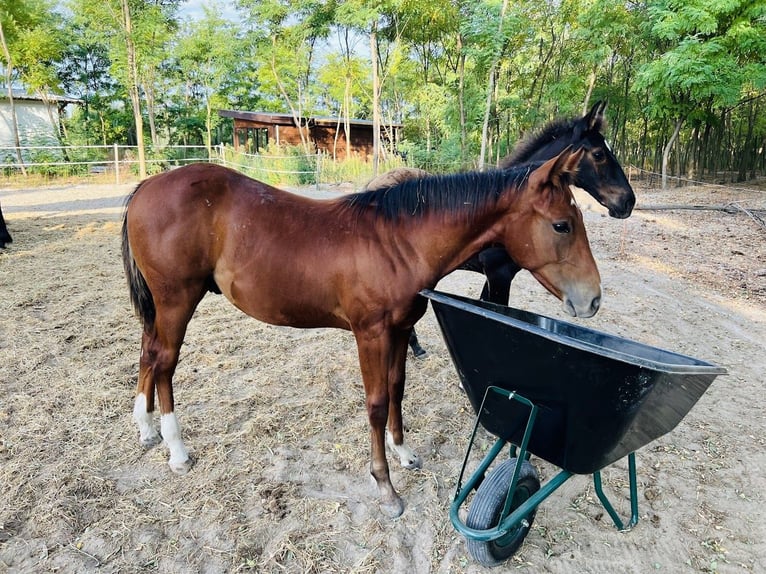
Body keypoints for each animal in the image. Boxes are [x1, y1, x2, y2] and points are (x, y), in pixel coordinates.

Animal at [121, 148, 601, 518]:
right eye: (562, 224)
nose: (593, 300)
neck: (399, 242)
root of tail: (146, 186)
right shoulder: (370, 334)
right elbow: (375, 403)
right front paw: (385, 488)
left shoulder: (400, 331)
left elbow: (397, 389)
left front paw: (403, 452)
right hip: (177, 299)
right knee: (165, 362)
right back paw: (176, 450)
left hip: (162, 306)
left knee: (148, 353)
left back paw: (145, 428)